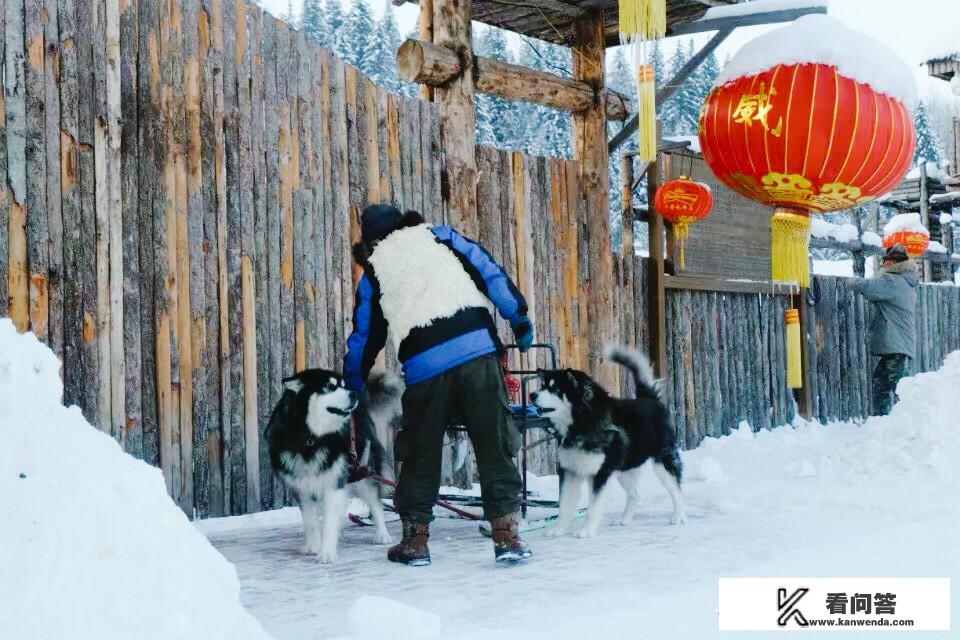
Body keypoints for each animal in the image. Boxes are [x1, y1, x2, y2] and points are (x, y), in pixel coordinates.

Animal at [264, 368, 400, 564]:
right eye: (329, 386)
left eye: (343, 385)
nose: (354, 393)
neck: (312, 438)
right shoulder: (302, 488)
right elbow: (310, 521)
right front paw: (313, 546)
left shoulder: (333, 483)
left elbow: (329, 521)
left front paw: (327, 552)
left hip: (362, 473)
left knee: (375, 504)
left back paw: (382, 535)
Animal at [528, 348, 688, 536]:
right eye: (542, 386)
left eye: (555, 389)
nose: (532, 395)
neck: (582, 422)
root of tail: (650, 399)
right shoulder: (569, 470)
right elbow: (565, 505)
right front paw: (559, 528)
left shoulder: (599, 472)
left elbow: (593, 506)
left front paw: (586, 530)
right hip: (624, 468)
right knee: (635, 495)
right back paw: (624, 519)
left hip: (662, 461)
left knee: (676, 489)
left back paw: (679, 515)